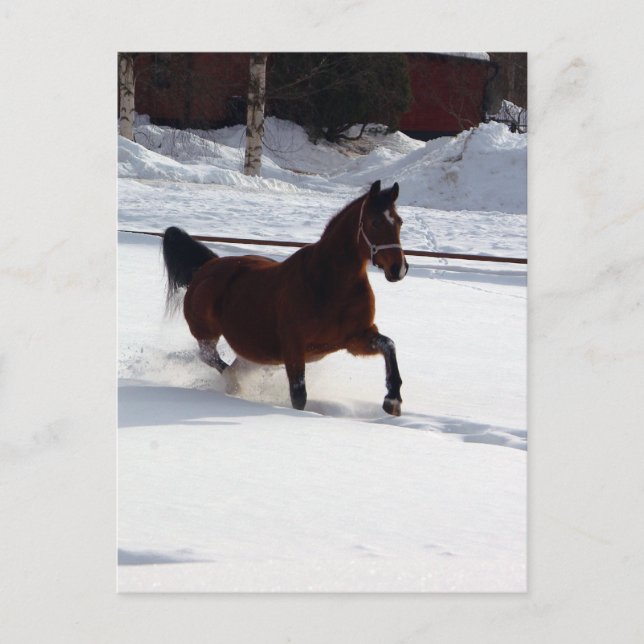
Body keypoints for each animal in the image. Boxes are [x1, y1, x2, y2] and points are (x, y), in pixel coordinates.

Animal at [162, 180, 409, 416]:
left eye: (399, 222)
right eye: (375, 222)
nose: (398, 269)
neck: (330, 285)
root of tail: (207, 266)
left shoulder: (355, 338)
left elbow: (389, 345)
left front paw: (392, 401)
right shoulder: (294, 347)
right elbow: (299, 396)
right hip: (207, 334)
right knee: (211, 359)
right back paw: (234, 385)